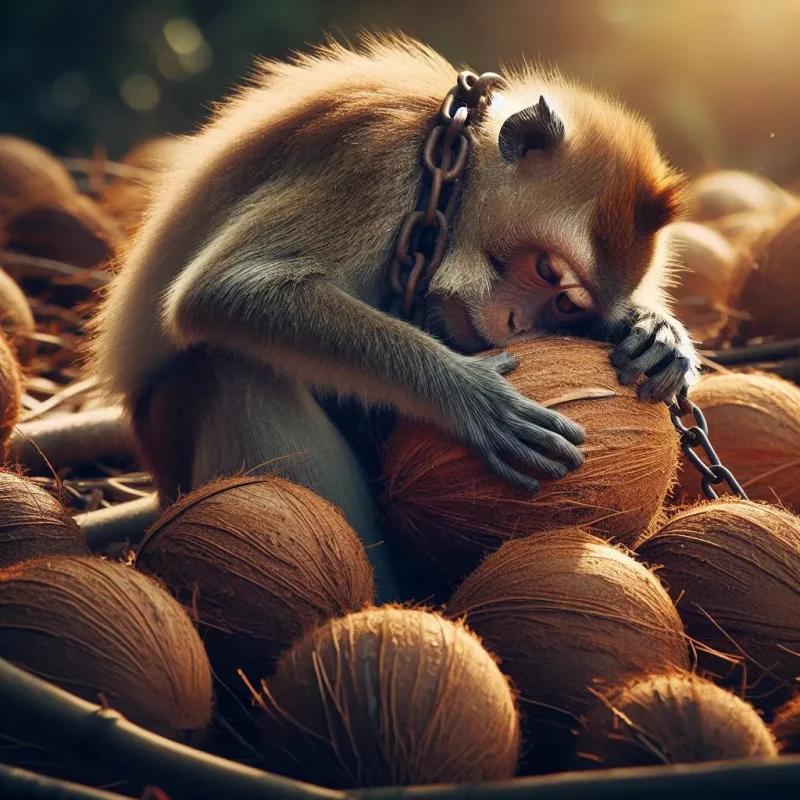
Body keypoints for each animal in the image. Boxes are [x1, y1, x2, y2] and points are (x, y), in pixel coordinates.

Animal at [90, 36, 697, 596]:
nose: (519, 325)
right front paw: (471, 395)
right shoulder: (378, 162)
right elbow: (233, 288)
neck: (455, 164)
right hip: (170, 435)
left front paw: (657, 334)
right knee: (229, 370)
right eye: (547, 272)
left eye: (567, 307)